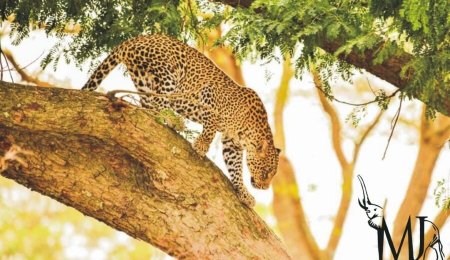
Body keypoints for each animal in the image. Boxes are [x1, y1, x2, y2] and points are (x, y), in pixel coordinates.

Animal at [80, 34, 278, 207]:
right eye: (266, 172)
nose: (263, 187)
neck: (249, 128)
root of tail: (137, 38)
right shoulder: (209, 96)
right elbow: (211, 123)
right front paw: (201, 145)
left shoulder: (232, 143)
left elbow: (235, 168)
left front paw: (244, 193)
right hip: (169, 72)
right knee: (159, 106)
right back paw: (174, 121)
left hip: (144, 79)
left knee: (150, 108)